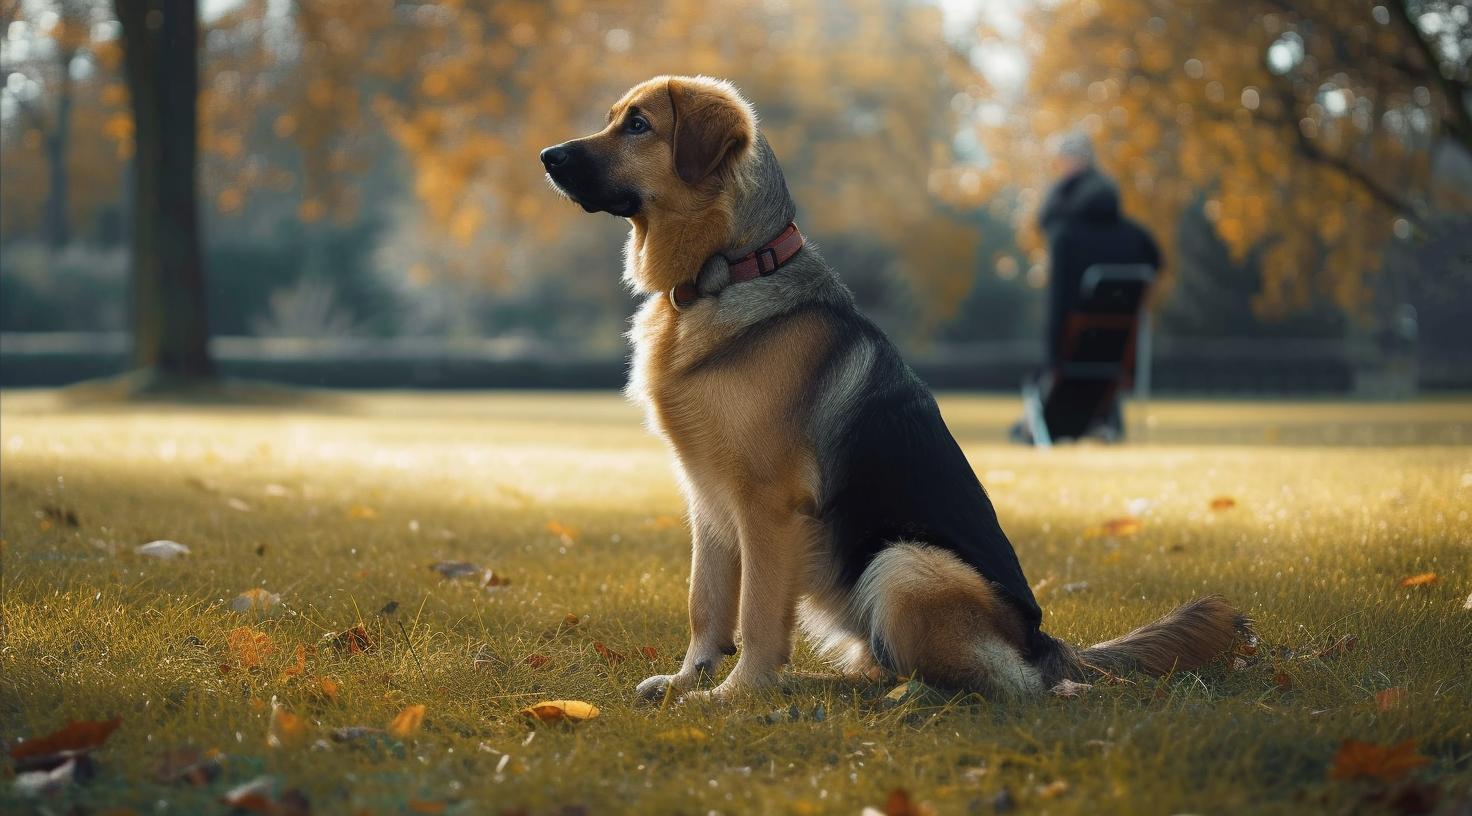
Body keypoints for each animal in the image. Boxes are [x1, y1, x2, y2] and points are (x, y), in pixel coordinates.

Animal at [541, 74, 1242, 698]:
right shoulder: (708, 502)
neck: (728, 272)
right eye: (615, 118)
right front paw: (690, 680)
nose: (548, 157)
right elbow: (705, 604)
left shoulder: (767, 506)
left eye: (639, 125)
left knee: (1000, 687)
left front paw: (735, 696)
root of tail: (1044, 645)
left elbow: (758, 614)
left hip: (903, 564)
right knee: (894, 665)